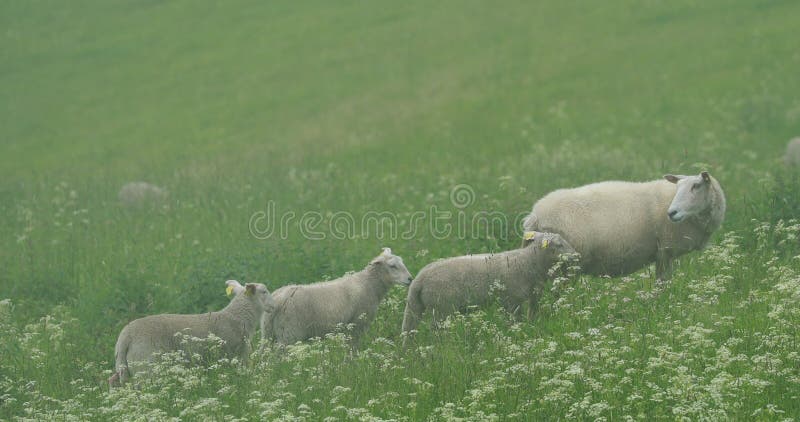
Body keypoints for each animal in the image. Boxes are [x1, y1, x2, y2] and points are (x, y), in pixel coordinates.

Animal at [108, 280, 276, 386]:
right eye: (264, 291)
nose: (274, 306)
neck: (237, 317)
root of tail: (125, 337)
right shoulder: (236, 355)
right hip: (147, 367)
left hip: (124, 367)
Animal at [262, 247, 412, 346]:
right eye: (392, 266)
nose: (410, 279)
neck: (368, 284)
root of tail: (279, 299)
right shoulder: (357, 325)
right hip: (289, 333)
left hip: (268, 332)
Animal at [400, 232, 576, 338]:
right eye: (559, 245)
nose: (576, 255)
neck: (527, 262)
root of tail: (420, 278)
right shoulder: (512, 301)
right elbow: (515, 321)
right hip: (442, 308)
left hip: (418, 305)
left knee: (409, 330)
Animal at [520, 171, 728, 280]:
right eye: (678, 187)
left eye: (696, 186)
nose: (672, 213)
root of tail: (534, 215)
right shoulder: (665, 251)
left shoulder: (661, 253)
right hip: (561, 265)